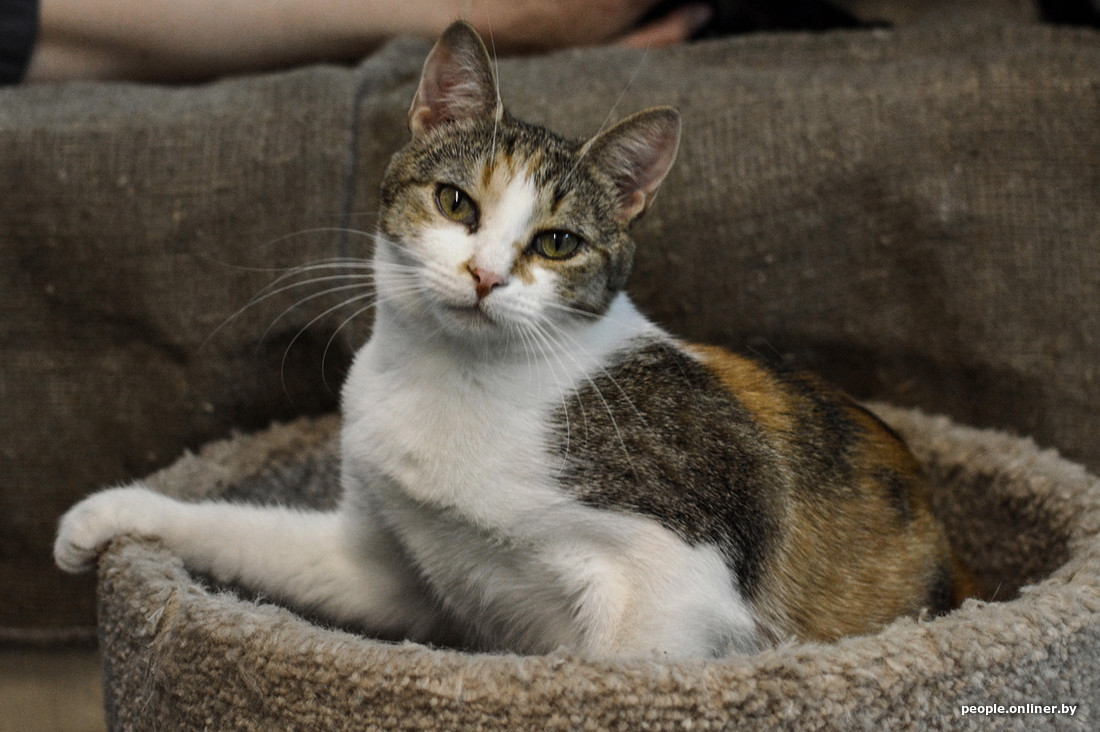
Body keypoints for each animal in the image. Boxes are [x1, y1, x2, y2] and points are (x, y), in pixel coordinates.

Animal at [55, 20, 965, 659]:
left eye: (557, 243)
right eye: (456, 202)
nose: (487, 275)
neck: (455, 379)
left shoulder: (681, 574)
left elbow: (621, 672)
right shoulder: (381, 569)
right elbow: (257, 535)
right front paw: (111, 514)